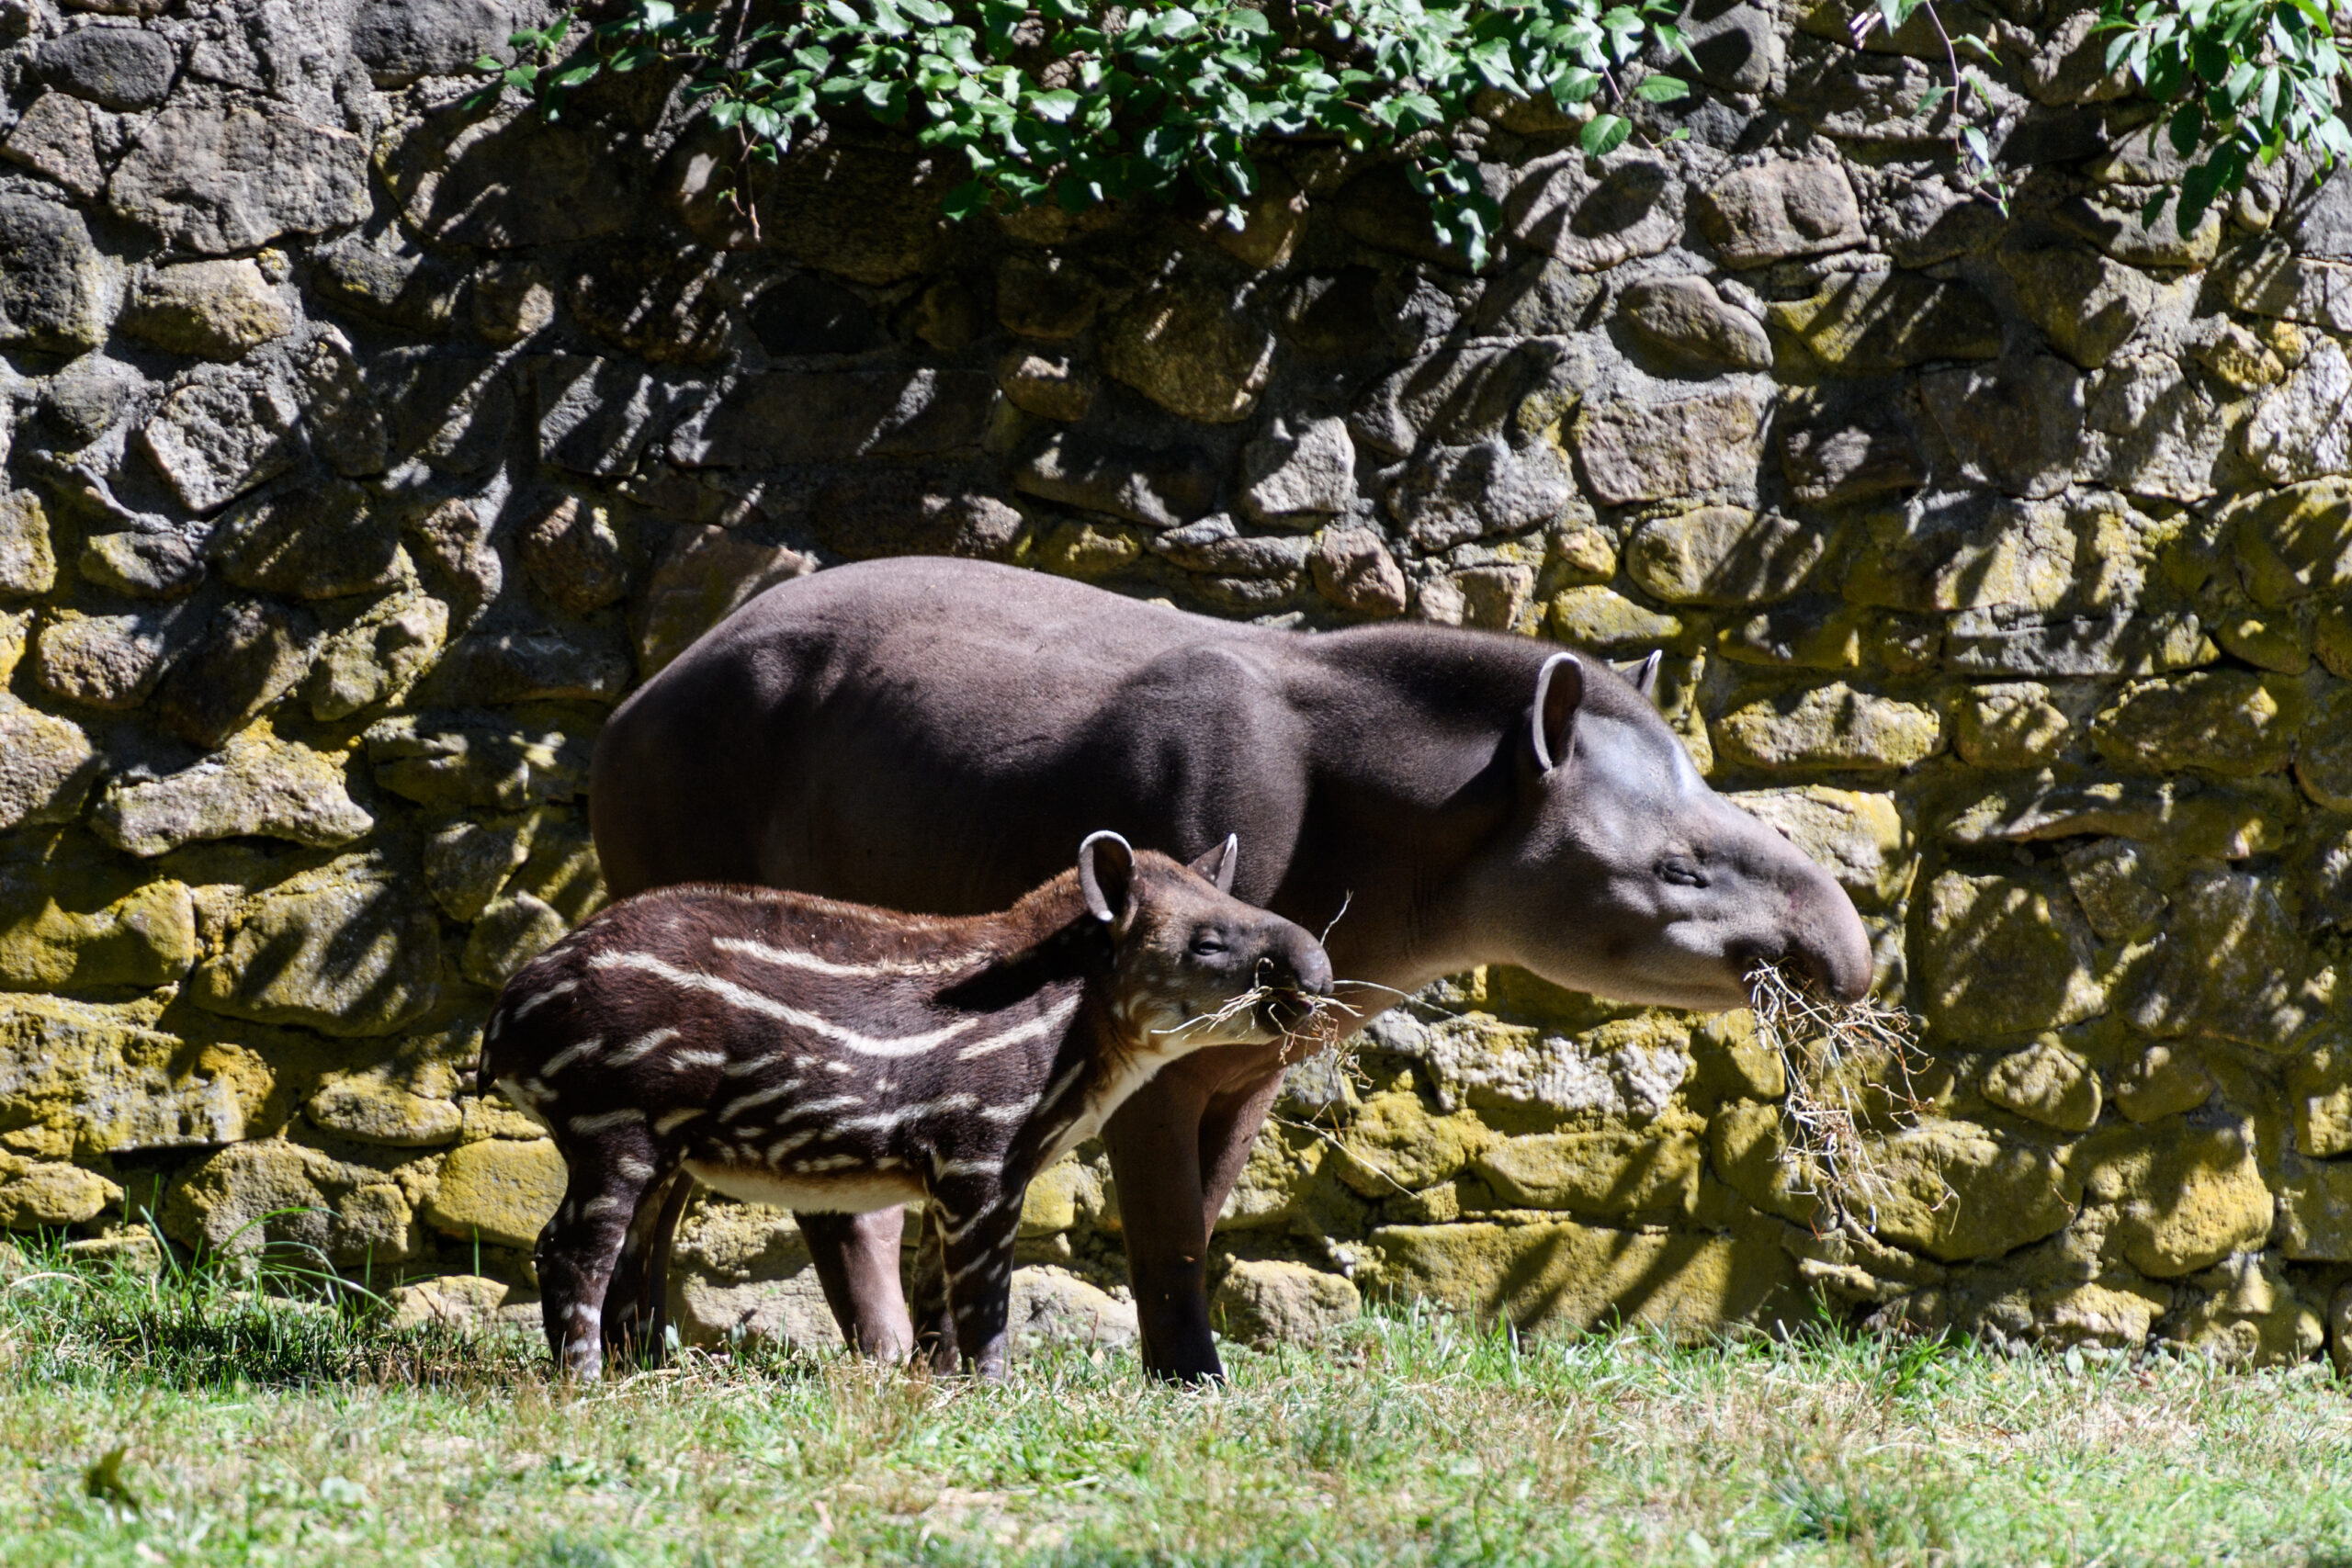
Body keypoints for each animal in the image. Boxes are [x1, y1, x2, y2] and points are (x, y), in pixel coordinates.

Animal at [486, 827, 1336, 1382]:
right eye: (1207, 942)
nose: (1320, 973)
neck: (1070, 1014)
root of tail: (509, 1011)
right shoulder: (982, 1152)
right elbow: (984, 1294)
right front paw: (994, 1389)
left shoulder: (958, 1172)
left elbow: (935, 1292)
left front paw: (936, 1383)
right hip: (613, 1120)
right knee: (573, 1247)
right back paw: (583, 1382)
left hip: (660, 1145)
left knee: (631, 1249)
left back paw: (643, 1376)